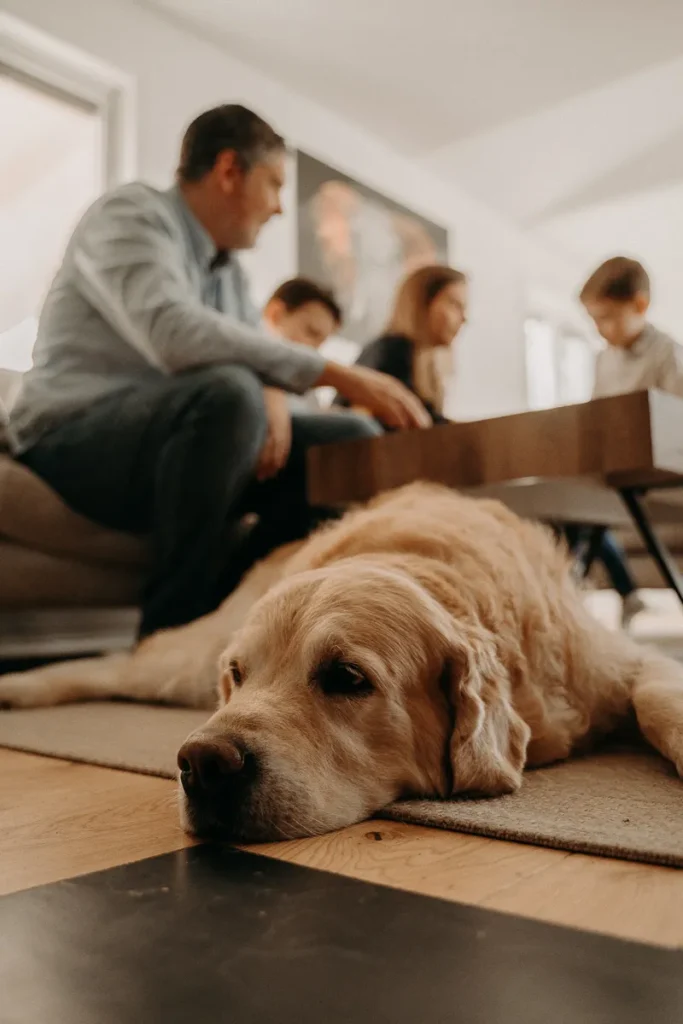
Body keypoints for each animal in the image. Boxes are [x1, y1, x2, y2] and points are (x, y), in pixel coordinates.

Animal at [1, 483, 683, 843]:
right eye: (239, 676)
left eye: (346, 678)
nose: (201, 763)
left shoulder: (618, 664)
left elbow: (655, 699)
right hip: (184, 663)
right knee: (116, 662)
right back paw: (19, 687)